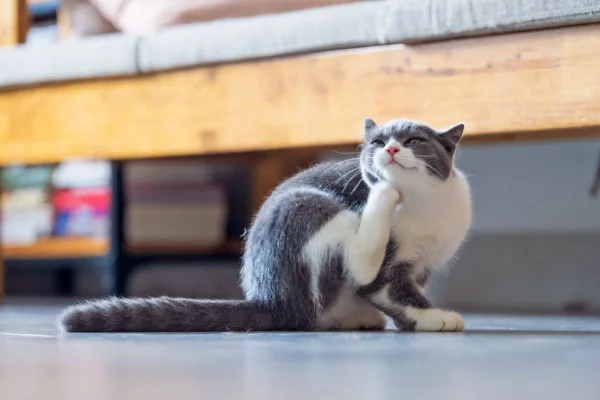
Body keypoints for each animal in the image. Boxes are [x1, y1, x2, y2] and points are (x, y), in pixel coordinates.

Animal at [61, 117, 474, 332]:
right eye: (376, 141)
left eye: (414, 139)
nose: (389, 149)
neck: (423, 202)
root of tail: (272, 300)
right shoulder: (389, 264)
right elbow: (389, 288)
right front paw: (435, 317)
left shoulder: (423, 263)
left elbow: (407, 290)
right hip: (308, 205)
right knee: (356, 261)